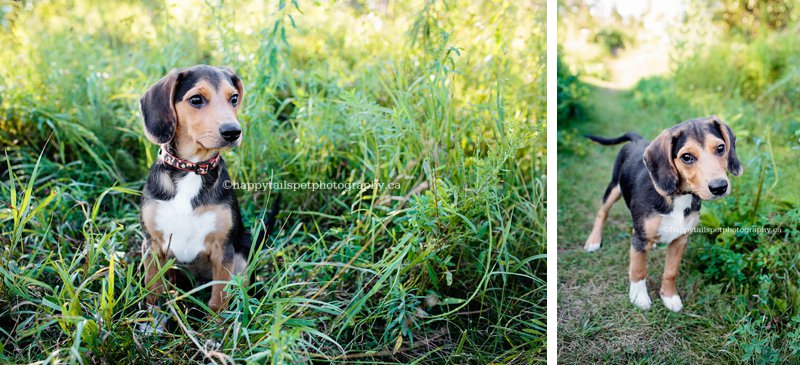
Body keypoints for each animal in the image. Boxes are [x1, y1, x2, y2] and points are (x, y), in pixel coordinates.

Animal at [138, 63, 250, 328]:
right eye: (196, 99)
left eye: (234, 98)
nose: (233, 132)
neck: (192, 169)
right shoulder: (152, 246)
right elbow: (153, 292)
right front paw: (152, 325)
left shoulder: (223, 250)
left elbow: (218, 299)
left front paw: (215, 332)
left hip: (241, 257)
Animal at [580, 116, 744, 310]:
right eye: (686, 157)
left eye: (720, 148)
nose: (720, 187)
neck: (678, 196)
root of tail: (637, 139)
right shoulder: (639, 239)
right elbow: (638, 270)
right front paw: (639, 297)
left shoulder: (680, 239)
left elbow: (671, 271)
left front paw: (669, 296)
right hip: (614, 188)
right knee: (602, 213)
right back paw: (593, 240)